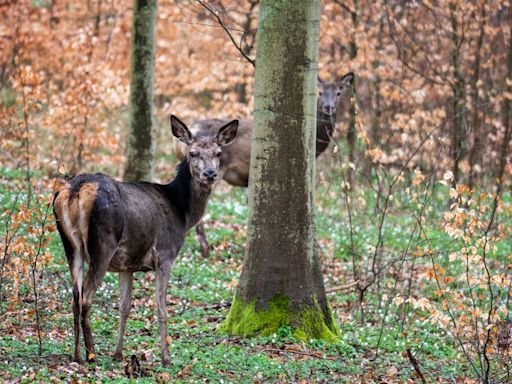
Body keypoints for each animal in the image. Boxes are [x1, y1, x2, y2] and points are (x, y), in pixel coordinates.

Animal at [53, 115, 237, 368]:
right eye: (193, 153)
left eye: (218, 152)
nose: (210, 174)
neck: (182, 212)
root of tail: (76, 190)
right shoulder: (165, 254)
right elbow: (161, 308)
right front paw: (166, 358)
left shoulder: (126, 265)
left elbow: (124, 307)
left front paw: (118, 353)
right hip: (103, 243)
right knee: (86, 297)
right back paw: (92, 355)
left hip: (70, 244)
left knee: (74, 296)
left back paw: (77, 355)